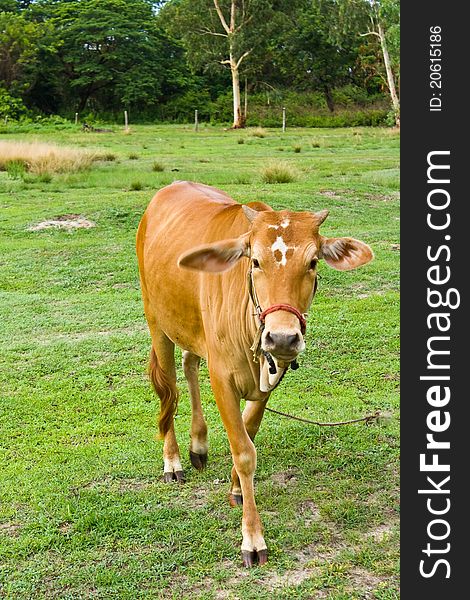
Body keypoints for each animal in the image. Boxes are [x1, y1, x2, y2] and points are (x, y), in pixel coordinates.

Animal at [135, 180, 370, 564]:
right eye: (255, 261)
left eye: (313, 262)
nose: (283, 336)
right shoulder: (222, 378)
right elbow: (244, 451)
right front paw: (253, 538)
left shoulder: (269, 379)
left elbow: (249, 430)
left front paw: (235, 487)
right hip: (157, 323)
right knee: (168, 390)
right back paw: (173, 462)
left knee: (189, 364)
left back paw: (198, 444)